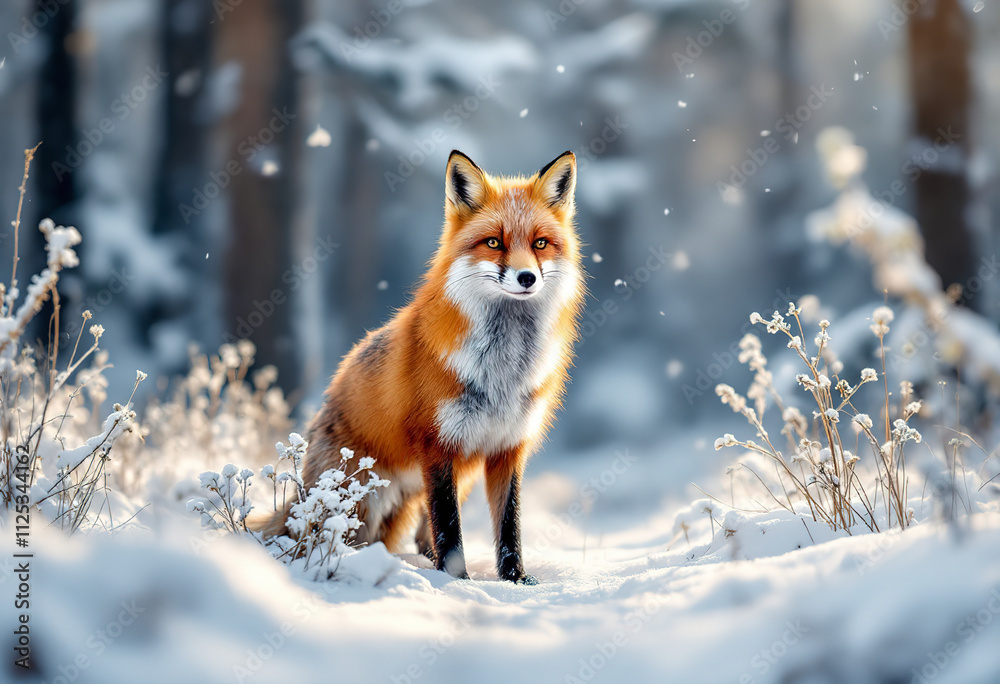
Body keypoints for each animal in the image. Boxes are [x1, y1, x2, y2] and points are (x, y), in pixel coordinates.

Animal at [254, 150, 585, 583]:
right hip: (360, 500)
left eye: (541, 243)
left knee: (416, 537)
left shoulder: (507, 447)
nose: (527, 277)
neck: (502, 370)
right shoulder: (436, 445)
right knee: (323, 538)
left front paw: (515, 579)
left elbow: (508, 524)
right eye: (494, 242)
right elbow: (449, 526)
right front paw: (458, 581)